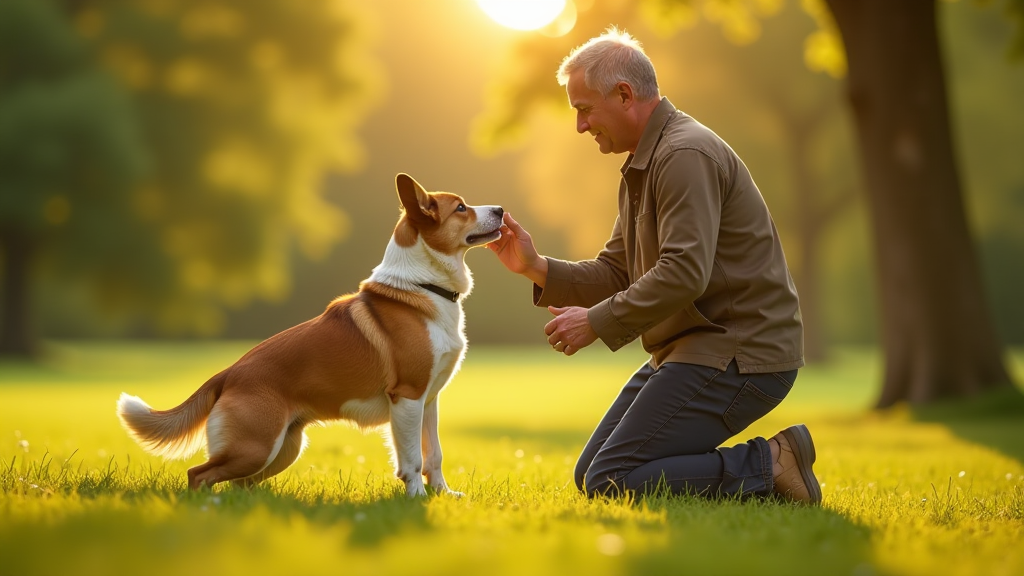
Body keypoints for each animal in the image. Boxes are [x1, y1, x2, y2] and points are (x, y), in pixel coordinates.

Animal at [117, 171, 501, 494]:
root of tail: (227, 373)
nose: (500, 209)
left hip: (283, 448)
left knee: (238, 485)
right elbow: (412, 459)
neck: (424, 287)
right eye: (461, 208)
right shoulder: (407, 398)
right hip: (255, 447)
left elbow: (433, 455)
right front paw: (417, 499)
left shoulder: (428, 400)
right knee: (198, 474)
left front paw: (443, 495)